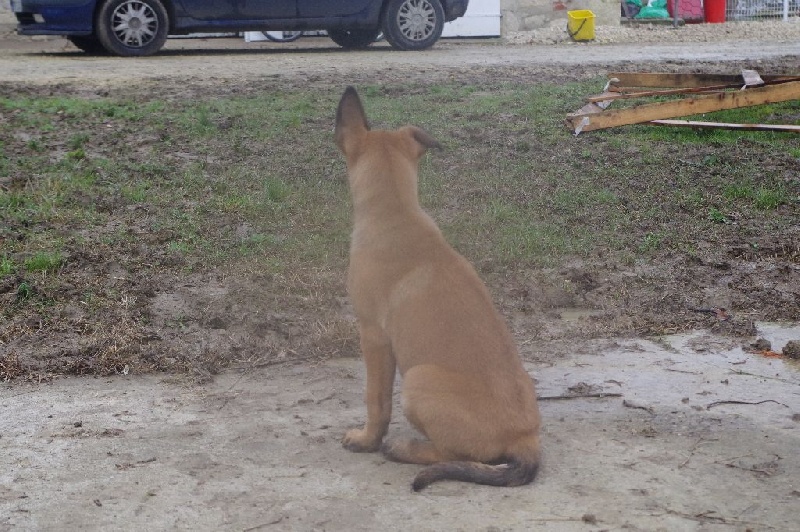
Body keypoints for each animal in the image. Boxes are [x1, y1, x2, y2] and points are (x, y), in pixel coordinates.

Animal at [334, 87, 540, 490]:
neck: (396, 213)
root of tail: (524, 439)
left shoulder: (373, 335)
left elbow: (375, 400)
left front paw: (366, 440)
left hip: (417, 378)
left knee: (453, 453)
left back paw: (403, 448)